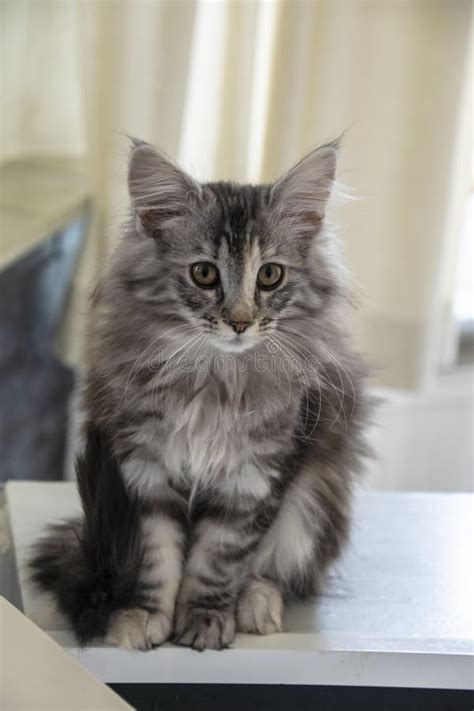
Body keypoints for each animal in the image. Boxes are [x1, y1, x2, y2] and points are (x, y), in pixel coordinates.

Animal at [30, 138, 370, 652]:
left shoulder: (255, 480)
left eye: (270, 275)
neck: (214, 378)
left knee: (279, 572)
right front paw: (143, 616)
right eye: (204, 274)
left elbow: (218, 561)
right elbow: (156, 559)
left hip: (315, 501)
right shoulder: (143, 473)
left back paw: (256, 605)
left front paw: (206, 619)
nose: (240, 321)